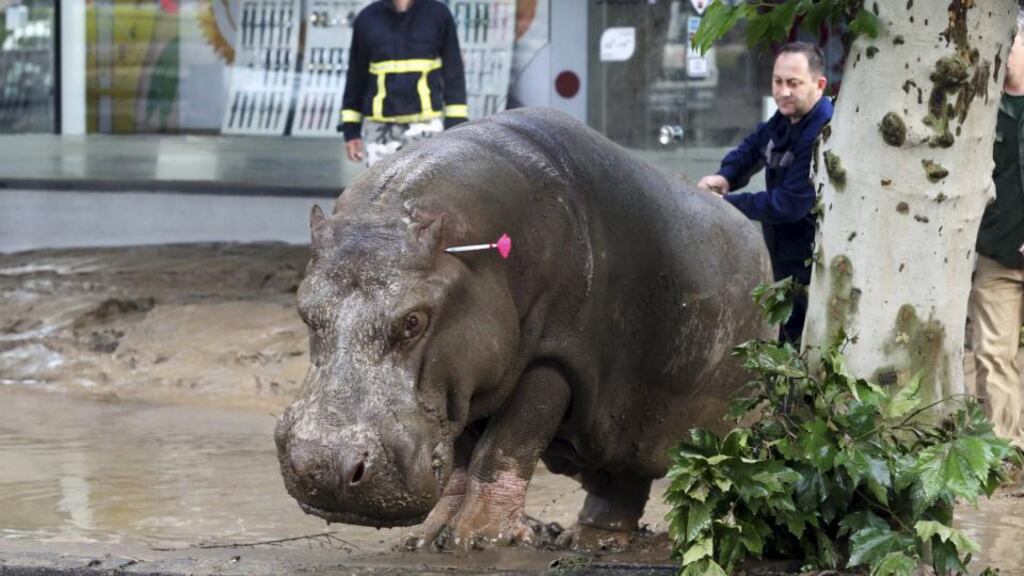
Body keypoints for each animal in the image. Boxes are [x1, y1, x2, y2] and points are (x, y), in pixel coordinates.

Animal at [275, 107, 773, 548]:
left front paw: (479, 538)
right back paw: (590, 540)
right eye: (304, 309)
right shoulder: (461, 384)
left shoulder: (552, 357)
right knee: (618, 480)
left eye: (414, 320)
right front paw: (427, 538)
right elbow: (461, 455)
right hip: (617, 424)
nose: (324, 468)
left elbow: (506, 444)